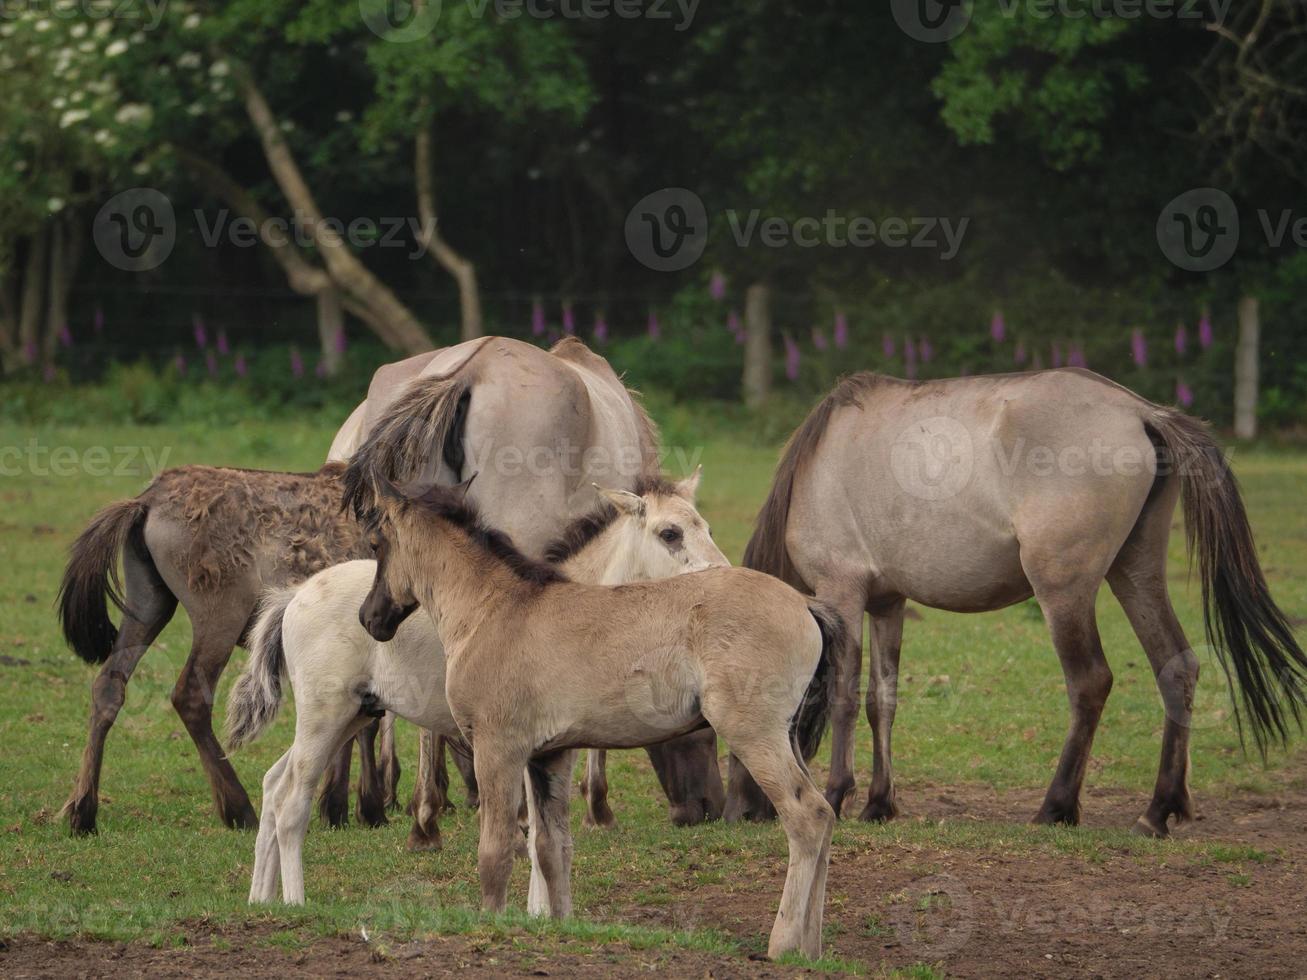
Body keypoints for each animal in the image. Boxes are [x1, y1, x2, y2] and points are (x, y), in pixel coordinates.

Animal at [230, 473, 731, 909]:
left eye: (707, 527)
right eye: (670, 534)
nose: (723, 576)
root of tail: (294, 596)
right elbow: (532, 832)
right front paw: (537, 910)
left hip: (351, 717)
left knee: (273, 785)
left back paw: (260, 899)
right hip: (324, 717)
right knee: (291, 801)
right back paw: (295, 902)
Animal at [342, 473, 841, 961]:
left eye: (377, 543)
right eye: (673, 533)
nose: (370, 617)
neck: (494, 609)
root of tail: (805, 604)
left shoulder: (497, 749)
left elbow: (495, 851)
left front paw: (491, 925)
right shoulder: (550, 755)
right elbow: (552, 849)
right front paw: (560, 927)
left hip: (753, 734)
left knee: (806, 816)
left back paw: (784, 944)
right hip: (786, 737)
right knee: (825, 815)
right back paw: (812, 946)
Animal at [726, 368, 1307, 836]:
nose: (734, 812)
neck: (821, 462)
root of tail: (1143, 413)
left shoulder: (842, 592)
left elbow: (844, 695)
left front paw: (837, 794)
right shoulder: (887, 603)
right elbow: (880, 700)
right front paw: (878, 803)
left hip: (1064, 591)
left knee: (1090, 682)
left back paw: (1057, 807)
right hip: (1136, 573)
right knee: (1176, 667)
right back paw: (1158, 810)